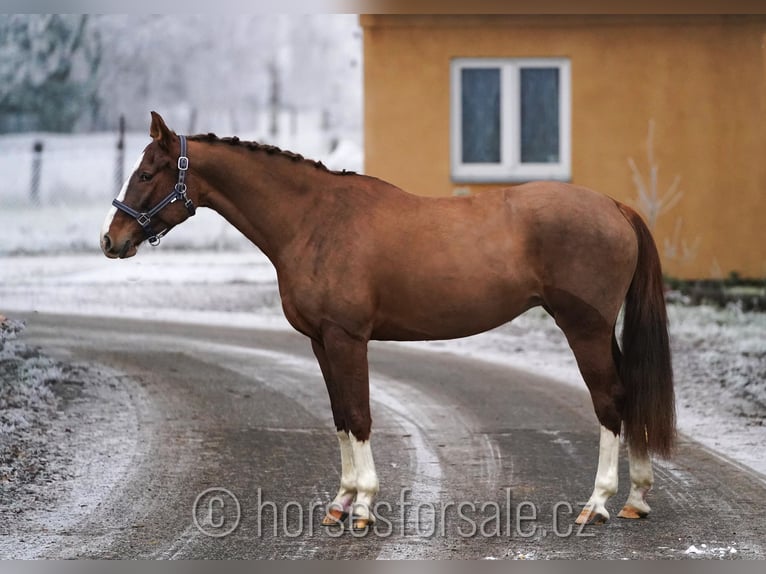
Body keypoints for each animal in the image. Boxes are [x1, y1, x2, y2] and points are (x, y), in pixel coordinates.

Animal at [102, 111, 680, 532]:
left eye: (147, 173)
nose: (112, 240)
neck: (315, 221)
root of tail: (615, 206)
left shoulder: (347, 338)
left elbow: (360, 415)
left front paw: (362, 508)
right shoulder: (320, 342)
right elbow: (340, 415)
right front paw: (339, 503)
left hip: (584, 329)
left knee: (609, 401)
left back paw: (598, 503)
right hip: (600, 331)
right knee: (629, 394)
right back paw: (636, 498)